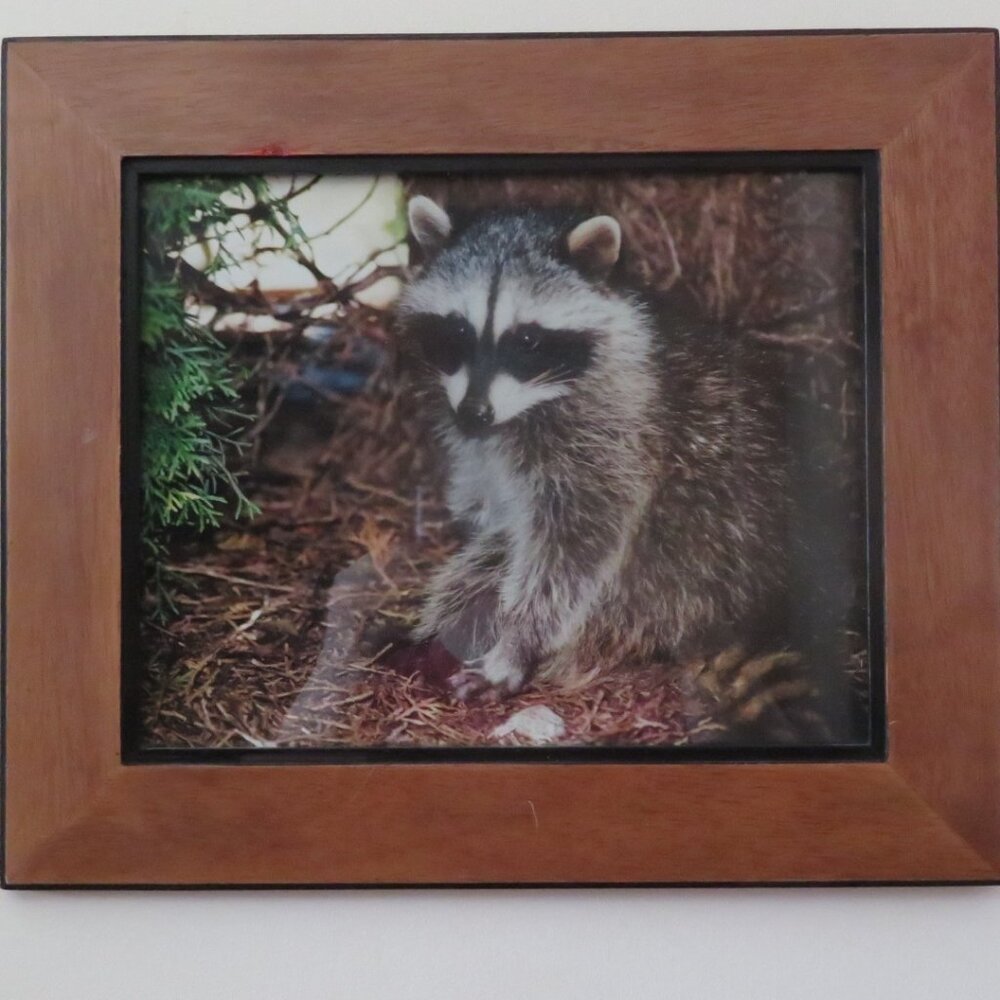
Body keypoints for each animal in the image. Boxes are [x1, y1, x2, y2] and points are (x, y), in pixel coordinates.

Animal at [396, 195, 798, 715]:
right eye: (457, 331)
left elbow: (576, 543)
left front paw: (518, 641)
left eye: (526, 340)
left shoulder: (613, 431)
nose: (473, 414)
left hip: (674, 579)